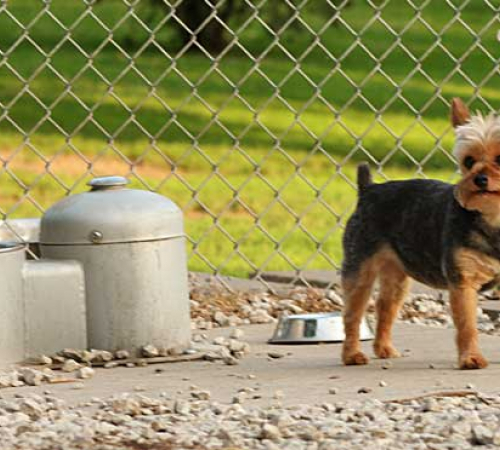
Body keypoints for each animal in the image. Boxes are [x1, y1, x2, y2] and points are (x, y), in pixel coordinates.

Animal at [342, 98, 500, 370]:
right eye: (469, 161)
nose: (479, 179)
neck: (493, 217)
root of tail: (368, 189)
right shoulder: (463, 282)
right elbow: (467, 325)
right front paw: (471, 358)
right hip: (359, 267)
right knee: (353, 312)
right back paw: (352, 355)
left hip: (396, 275)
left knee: (385, 307)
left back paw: (384, 348)